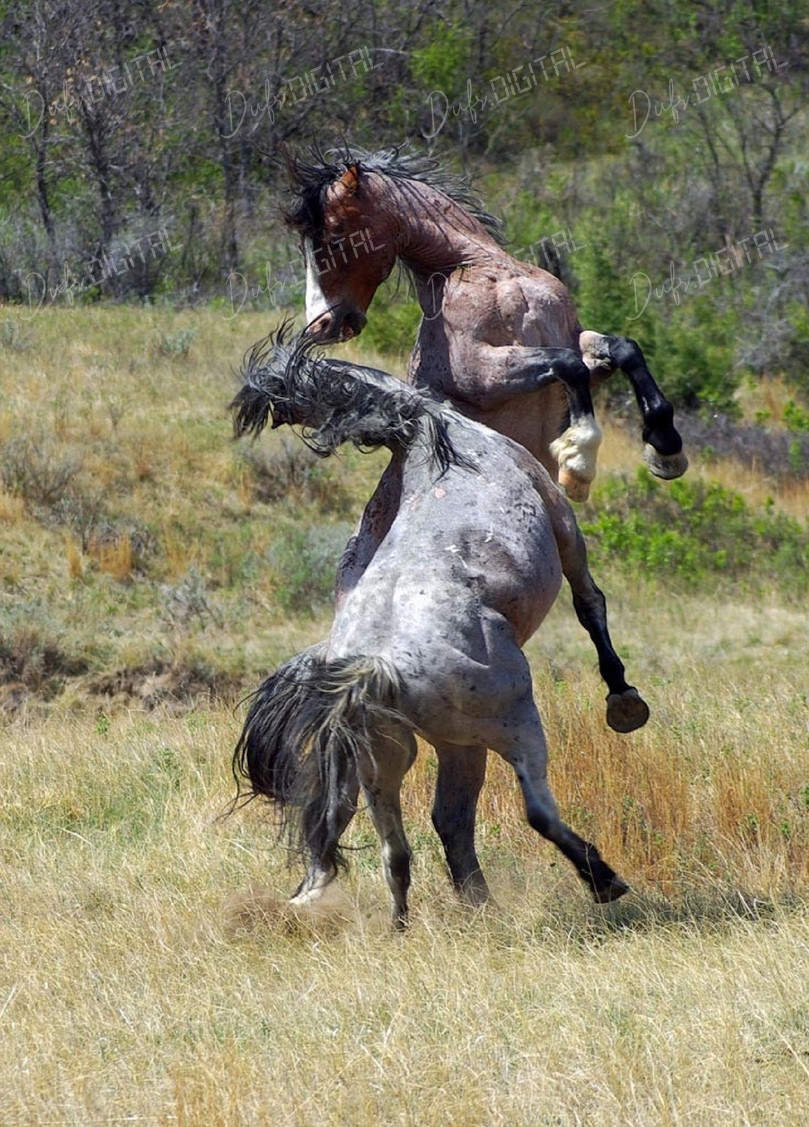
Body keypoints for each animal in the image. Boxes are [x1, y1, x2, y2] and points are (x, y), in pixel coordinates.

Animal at [231, 327, 630, 925]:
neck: (436, 440)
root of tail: (377, 671)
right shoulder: (562, 522)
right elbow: (591, 605)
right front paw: (623, 696)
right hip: (508, 724)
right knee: (533, 809)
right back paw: (602, 880)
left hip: (391, 759)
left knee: (399, 846)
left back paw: (406, 920)